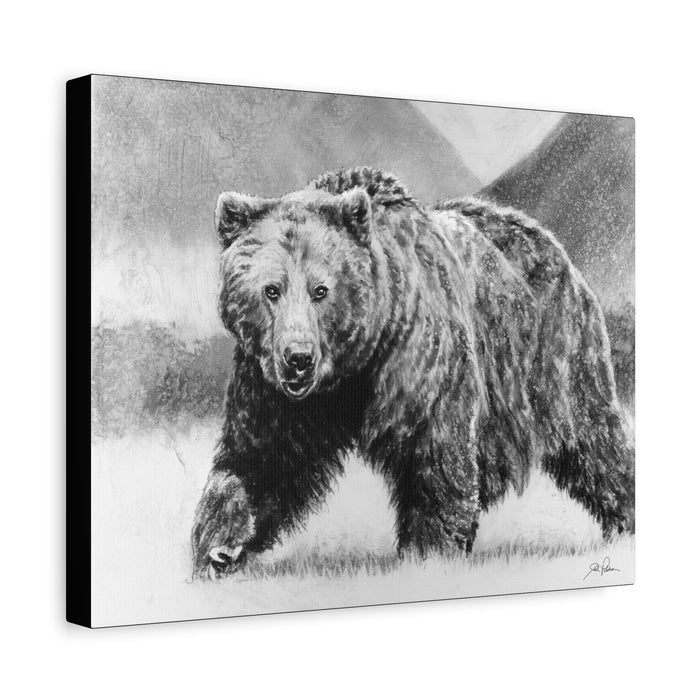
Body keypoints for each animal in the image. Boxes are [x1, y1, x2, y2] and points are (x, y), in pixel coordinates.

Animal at [191, 166, 634, 579]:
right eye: (271, 289)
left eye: (321, 290)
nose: (298, 357)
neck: (354, 364)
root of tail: (545, 237)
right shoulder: (271, 387)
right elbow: (260, 457)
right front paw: (218, 548)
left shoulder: (420, 359)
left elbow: (435, 453)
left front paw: (428, 553)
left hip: (554, 355)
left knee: (594, 439)